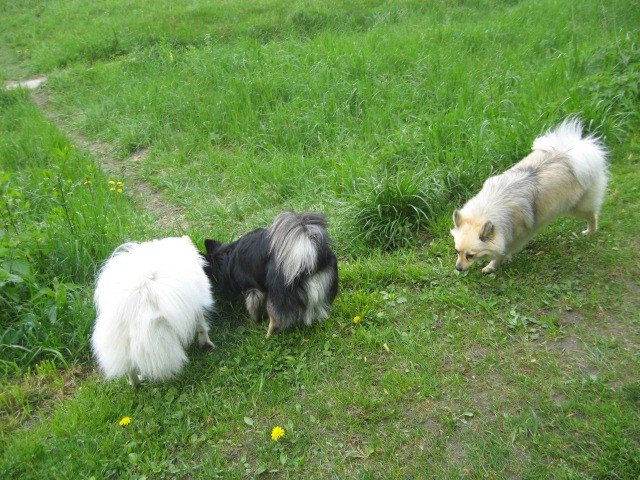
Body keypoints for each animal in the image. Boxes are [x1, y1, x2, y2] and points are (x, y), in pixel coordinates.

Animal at [92, 236, 214, 386]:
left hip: (121, 340)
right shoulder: (196, 304)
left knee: (130, 368)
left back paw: (135, 383)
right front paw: (206, 344)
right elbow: (202, 327)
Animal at [452, 118, 608, 274]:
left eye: (470, 256)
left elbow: (501, 254)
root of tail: (572, 154)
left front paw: (491, 266)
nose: (458, 268)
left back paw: (590, 231)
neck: (491, 206)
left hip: (576, 207)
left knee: (592, 215)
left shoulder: (514, 239)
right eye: (457, 252)